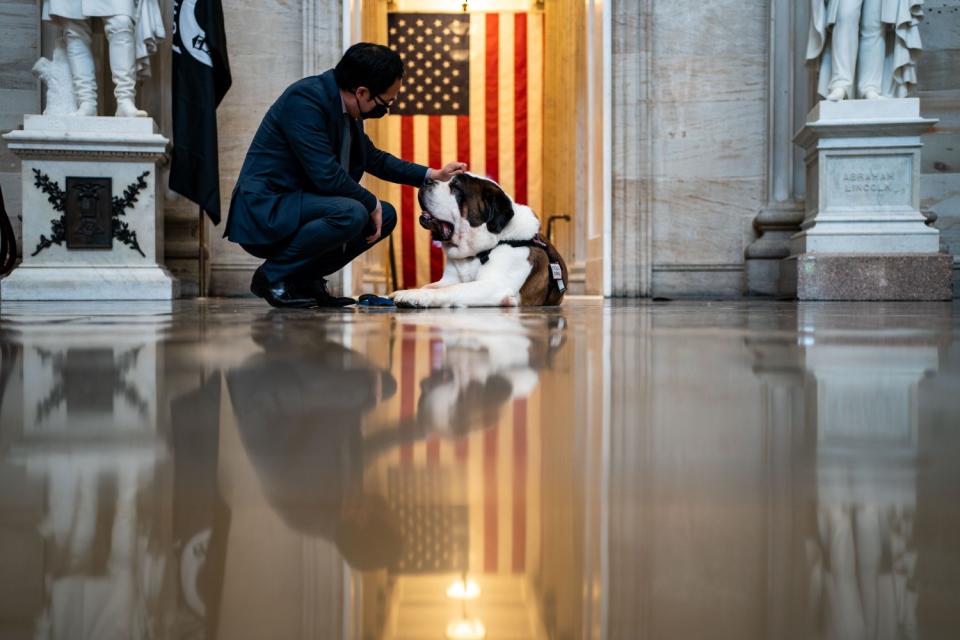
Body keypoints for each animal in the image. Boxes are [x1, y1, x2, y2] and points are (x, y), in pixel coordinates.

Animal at [392, 172, 568, 308]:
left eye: (456, 187)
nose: (426, 179)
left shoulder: (495, 284)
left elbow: (454, 289)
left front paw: (415, 296)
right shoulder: (448, 279)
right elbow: (430, 285)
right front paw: (405, 291)